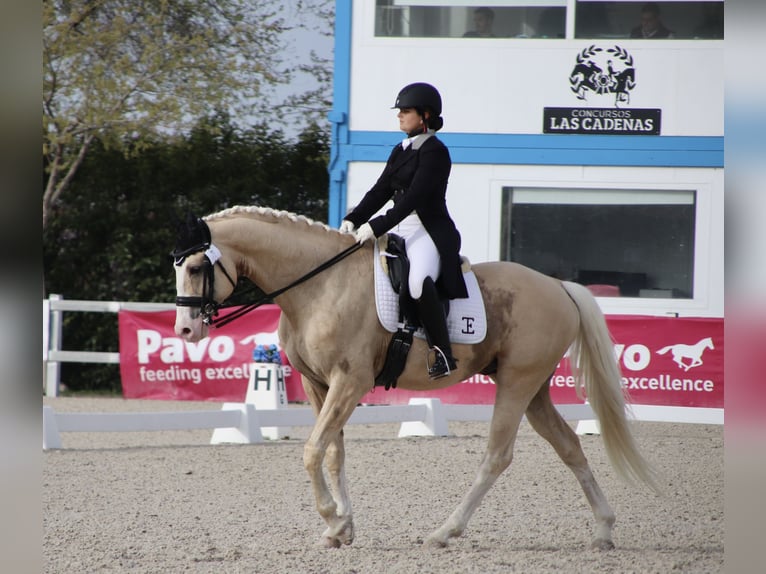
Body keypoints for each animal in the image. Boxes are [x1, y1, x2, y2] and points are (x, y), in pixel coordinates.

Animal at [174, 208, 660, 552]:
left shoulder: (350, 383)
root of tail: (558, 286)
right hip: (534, 388)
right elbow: (333, 453)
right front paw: (343, 529)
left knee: (497, 456)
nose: (185, 331)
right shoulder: (318, 385)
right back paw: (603, 531)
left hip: (517, 383)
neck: (318, 286)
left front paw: (333, 518)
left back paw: (445, 532)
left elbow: (312, 451)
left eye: (196, 267)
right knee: (569, 446)